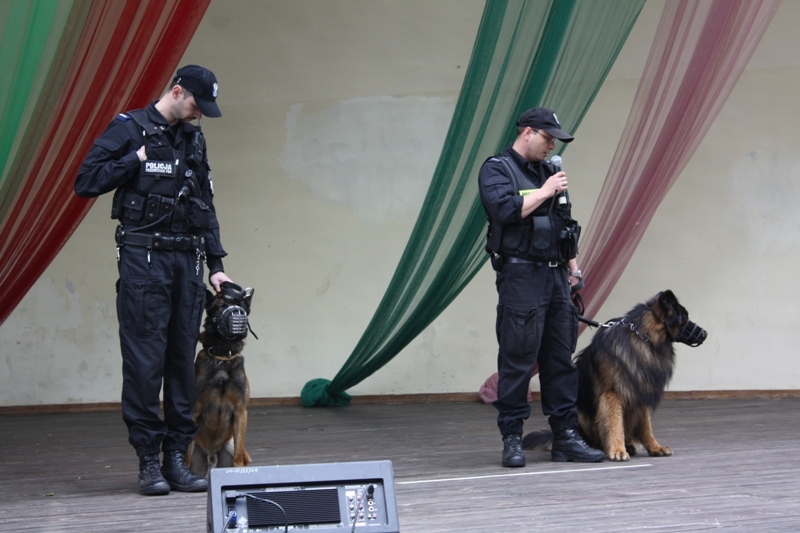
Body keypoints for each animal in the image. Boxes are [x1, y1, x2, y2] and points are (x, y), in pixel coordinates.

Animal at [187, 282, 255, 476]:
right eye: (221, 305)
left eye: (243, 307)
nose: (238, 314)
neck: (223, 356)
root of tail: (211, 455)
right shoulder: (193, 410)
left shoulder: (241, 412)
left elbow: (238, 454)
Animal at [523, 290, 707, 461]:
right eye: (684, 319)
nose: (705, 333)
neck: (643, 337)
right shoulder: (612, 394)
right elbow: (614, 423)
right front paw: (617, 450)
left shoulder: (641, 391)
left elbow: (646, 425)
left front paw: (655, 447)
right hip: (580, 413)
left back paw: (629, 445)